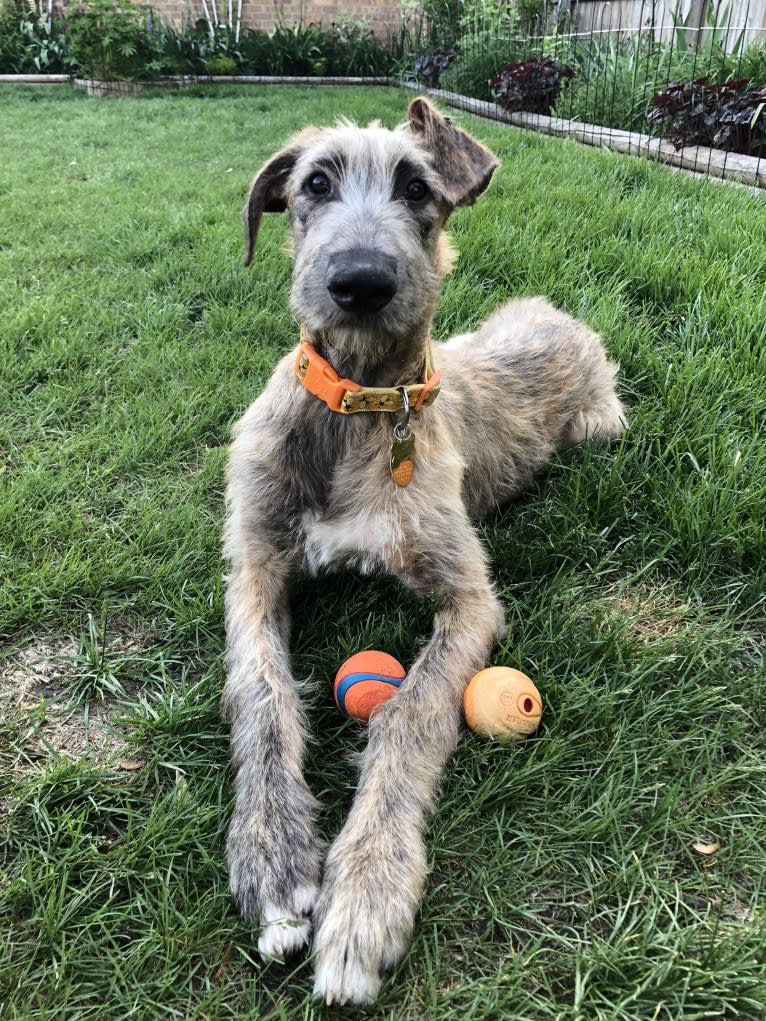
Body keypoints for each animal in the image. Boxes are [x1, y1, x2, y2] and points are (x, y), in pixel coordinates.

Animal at [220, 97, 625, 1004]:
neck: (360, 406)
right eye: (315, 183)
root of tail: (559, 314)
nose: (361, 282)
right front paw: (273, 854)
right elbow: (262, 687)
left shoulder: (470, 594)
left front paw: (366, 891)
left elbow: (411, 709)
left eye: (416, 187)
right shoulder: (255, 563)